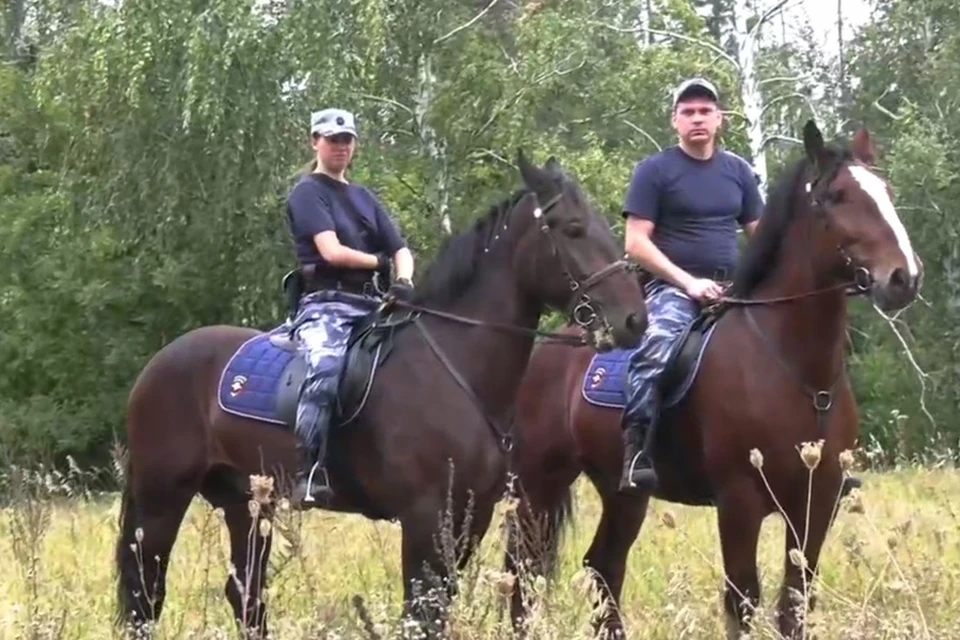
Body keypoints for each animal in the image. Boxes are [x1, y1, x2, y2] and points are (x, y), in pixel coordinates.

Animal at [112, 152, 652, 636]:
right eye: (573, 229)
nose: (634, 320)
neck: (453, 366)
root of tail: (159, 363)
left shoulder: (467, 519)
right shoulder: (422, 518)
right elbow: (421, 614)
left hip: (244, 501)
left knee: (244, 593)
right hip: (162, 496)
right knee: (146, 592)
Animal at [502, 122, 924, 636]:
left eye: (887, 192)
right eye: (839, 195)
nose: (905, 277)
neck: (793, 367)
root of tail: (546, 351)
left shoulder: (817, 502)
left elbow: (796, 603)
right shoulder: (738, 501)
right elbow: (742, 600)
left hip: (622, 494)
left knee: (603, 567)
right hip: (537, 484)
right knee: (522, 573)